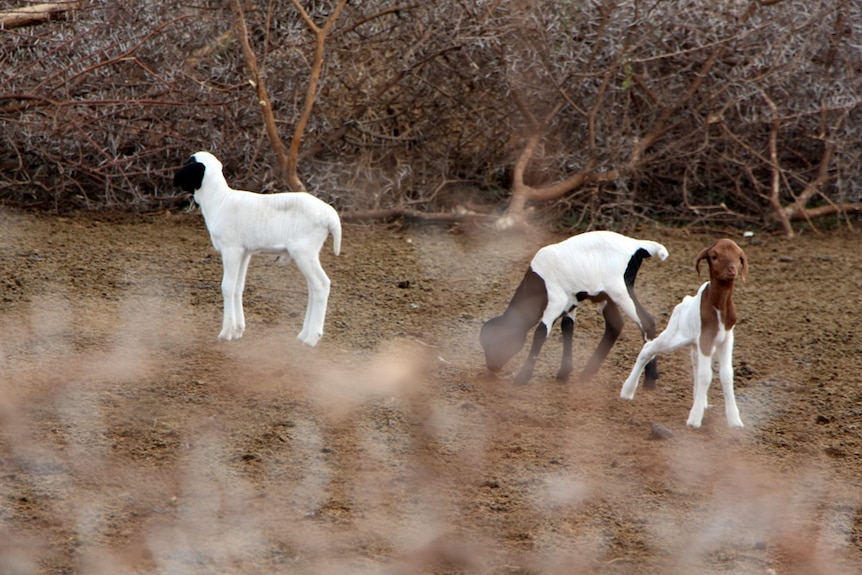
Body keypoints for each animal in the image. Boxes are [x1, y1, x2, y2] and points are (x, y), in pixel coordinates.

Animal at [172, 151, 340, 346]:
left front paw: (226, 332)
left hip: (304, 252)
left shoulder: (231, 249)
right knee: (314, 287)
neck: (219, 201)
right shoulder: (244, 252)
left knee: (321, 285)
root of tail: (330, 217)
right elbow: (238, 287)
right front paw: (238, 330)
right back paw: (304, 334)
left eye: (189, 163)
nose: (174, 178)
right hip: (309, 253)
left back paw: (312, 338)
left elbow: (227, 286)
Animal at [482, 231, 672, 388]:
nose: (492, 367)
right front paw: (563, 373)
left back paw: (649, 380)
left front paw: (522, 378)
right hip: (606, 295)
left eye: (496, 343)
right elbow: (567, 328)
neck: (538, 282)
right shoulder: (570, 302)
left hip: (621, 290)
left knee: (646, 322)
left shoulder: (556, 301)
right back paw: (588, 373)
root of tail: (638, 245)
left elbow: (540, 332)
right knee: (615, 324)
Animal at [620, 237, 748, 428]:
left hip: (695, 341)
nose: (732, 270)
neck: (719, 307)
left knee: (695, 362)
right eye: (714, 256)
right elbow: (706, 375)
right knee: (649, 348)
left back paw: (701, 402)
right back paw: (627, 391)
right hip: (674, 335)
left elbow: (726, 374)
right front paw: (694, 420)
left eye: (739, 257)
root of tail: (685, 301)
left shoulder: (726, 337)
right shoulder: (705, 338)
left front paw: (734, 420)